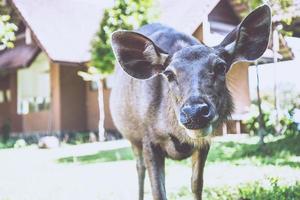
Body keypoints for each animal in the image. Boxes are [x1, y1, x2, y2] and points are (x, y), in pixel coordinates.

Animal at [109, 4, 272, 200]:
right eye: (169, 74)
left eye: (220, 67)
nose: (195, 112)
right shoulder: (148, 138)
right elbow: (158, 191)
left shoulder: (204, 142)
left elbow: (196, 183)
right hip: (132, 137)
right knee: (139, 169)